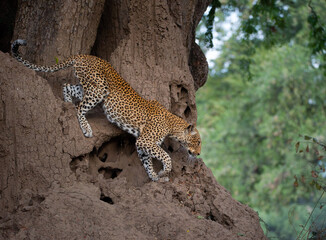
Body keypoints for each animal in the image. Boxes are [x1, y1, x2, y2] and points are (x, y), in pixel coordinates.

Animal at [11, 39, 201, 182]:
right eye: (198, 141)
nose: (199, 154)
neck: (172, 124)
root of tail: (83, 55)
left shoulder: (141, 144)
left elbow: (147, 162)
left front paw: (155, 177)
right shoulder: (145, 141)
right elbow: (165, 156)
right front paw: (164, 171)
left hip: (89, 87)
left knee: (67, 86)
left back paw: (66, 104)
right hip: (99, 88)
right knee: (80, 108)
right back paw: (86, 128)